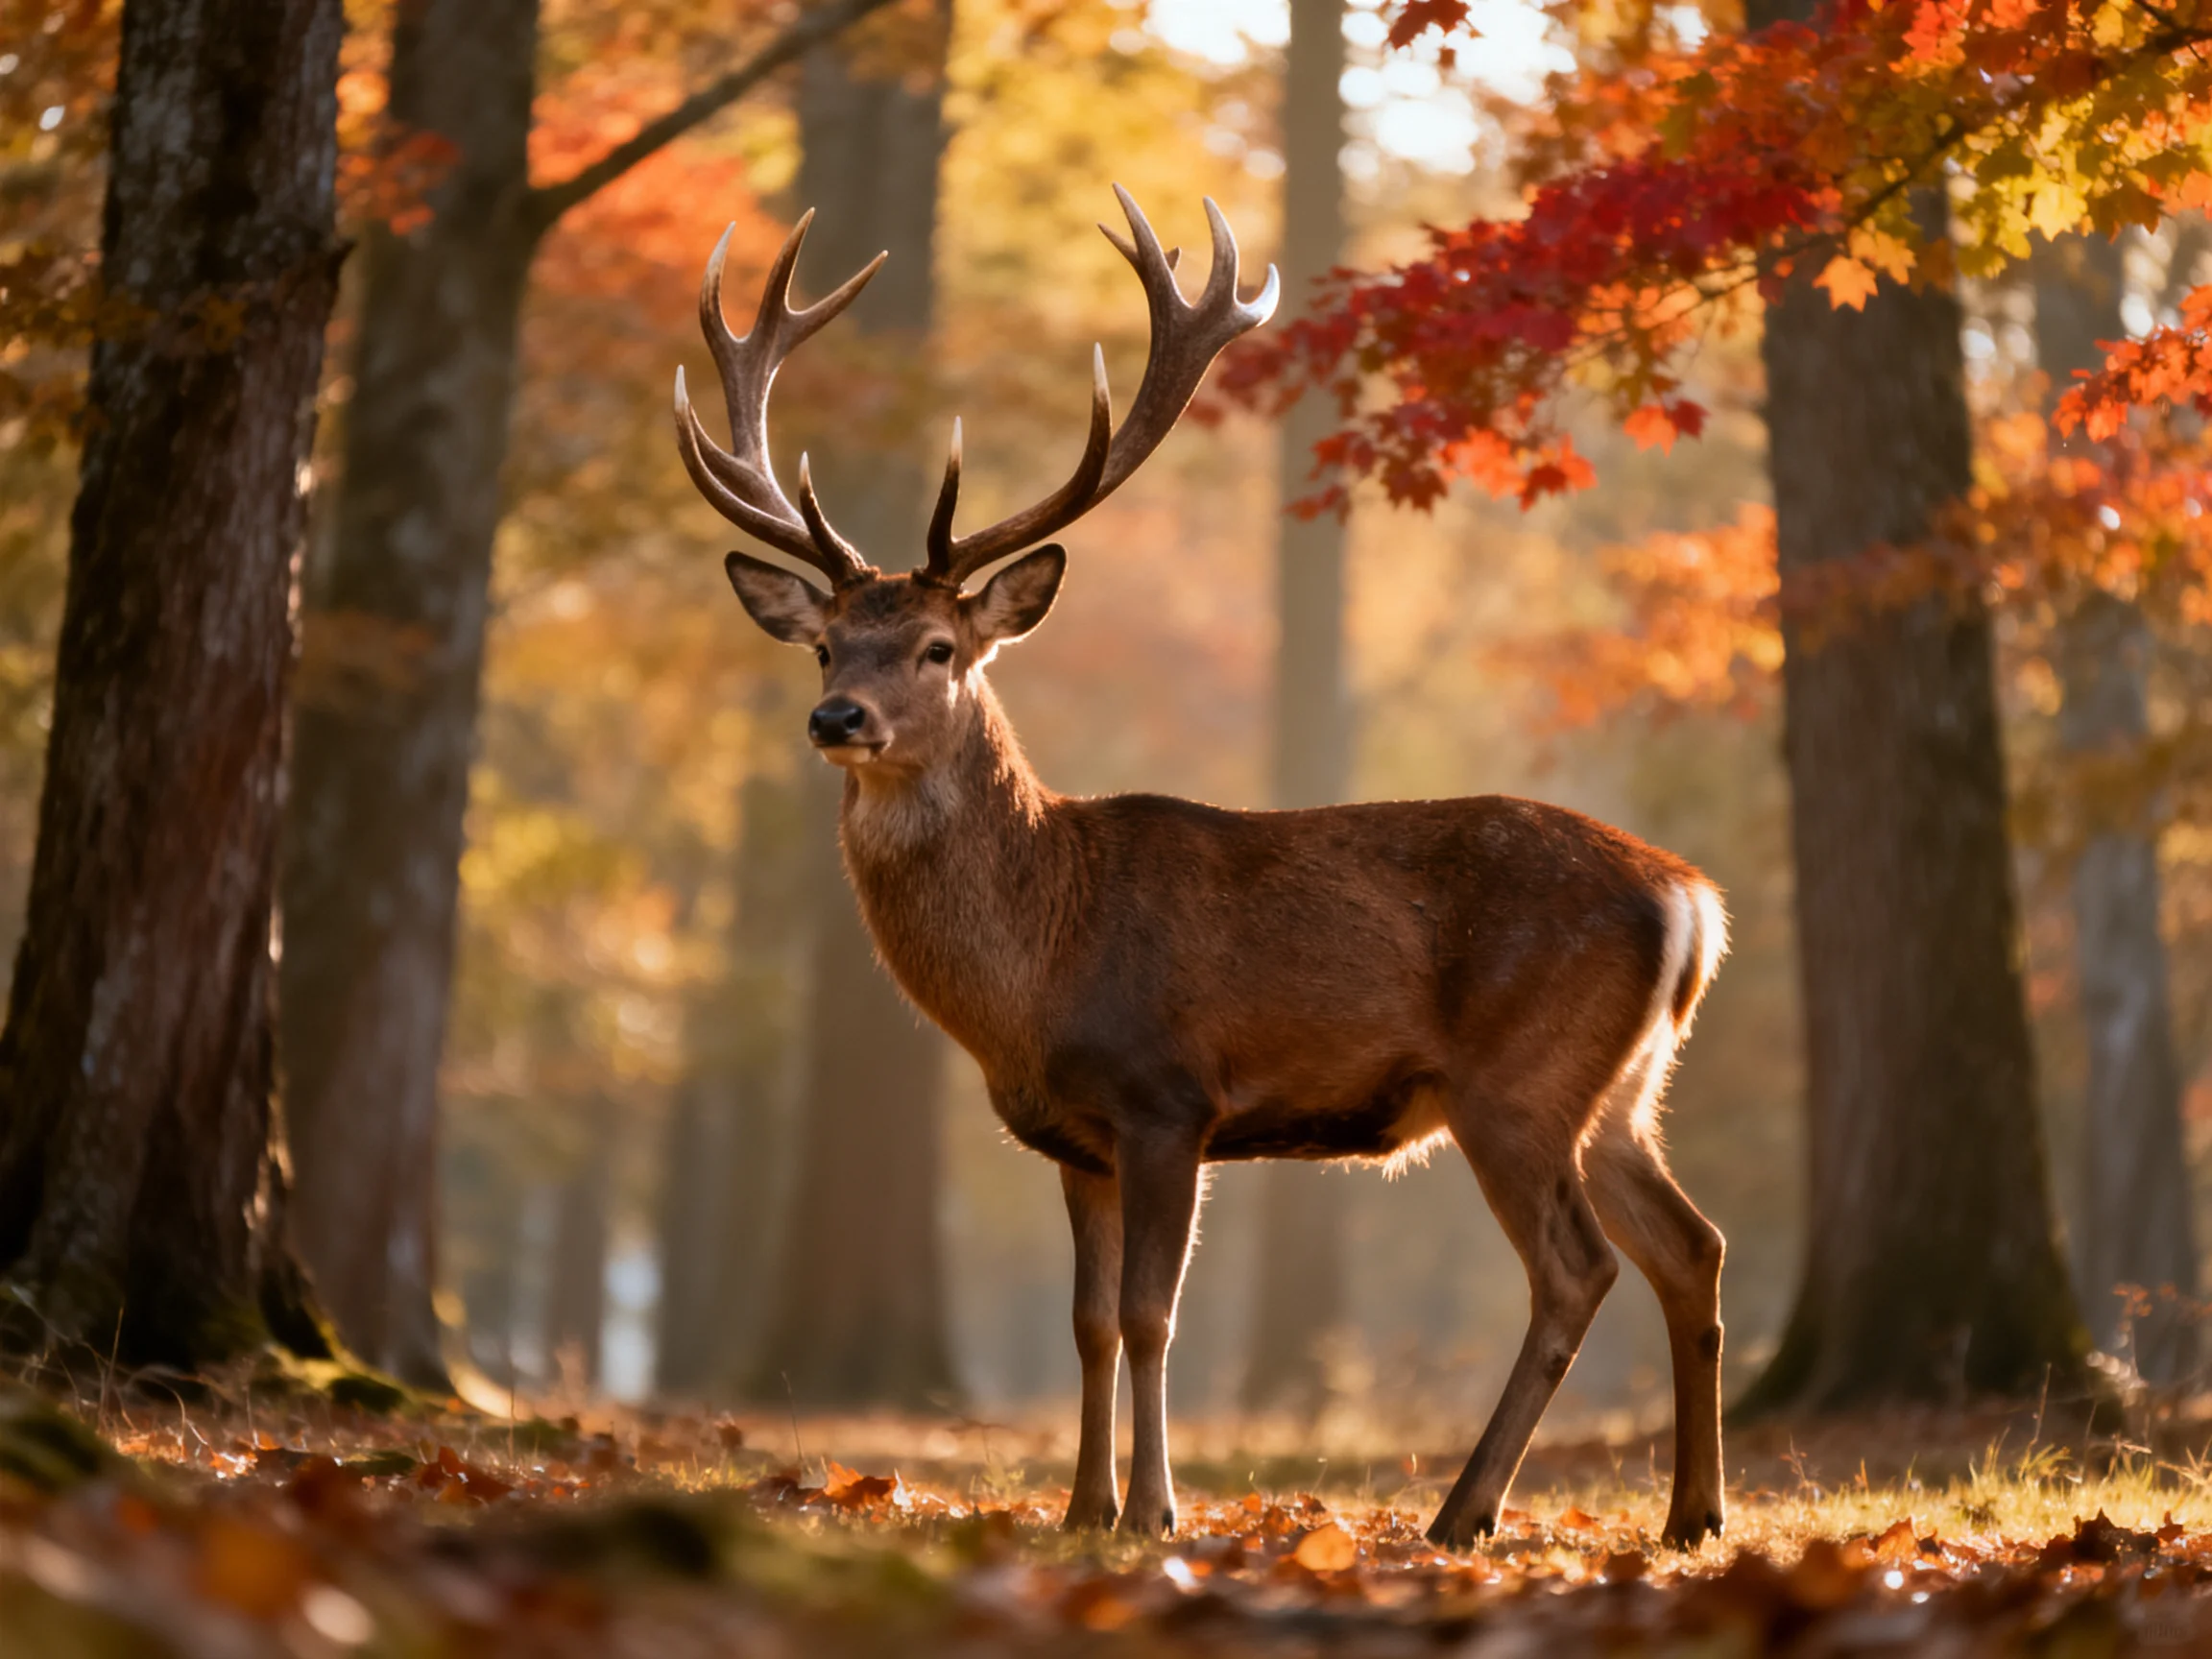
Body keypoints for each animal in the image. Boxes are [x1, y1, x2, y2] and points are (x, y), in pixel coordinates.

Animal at [672, 187, 1731, 1550]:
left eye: (939, 647)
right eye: (825, 648)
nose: (837, 719)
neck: (1037, 968)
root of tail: (1691, 898)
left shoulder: (1169, 1095)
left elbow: (1147, 1315)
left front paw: (1155, 1512)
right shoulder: (1073, 1138)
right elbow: (1083, 1324)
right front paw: (1084, 1508)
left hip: (1521, 1078)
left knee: (1578, 1268)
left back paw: (1465, 1513)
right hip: (1623, 1086)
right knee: (1690, 1246)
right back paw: (1691, 1516)